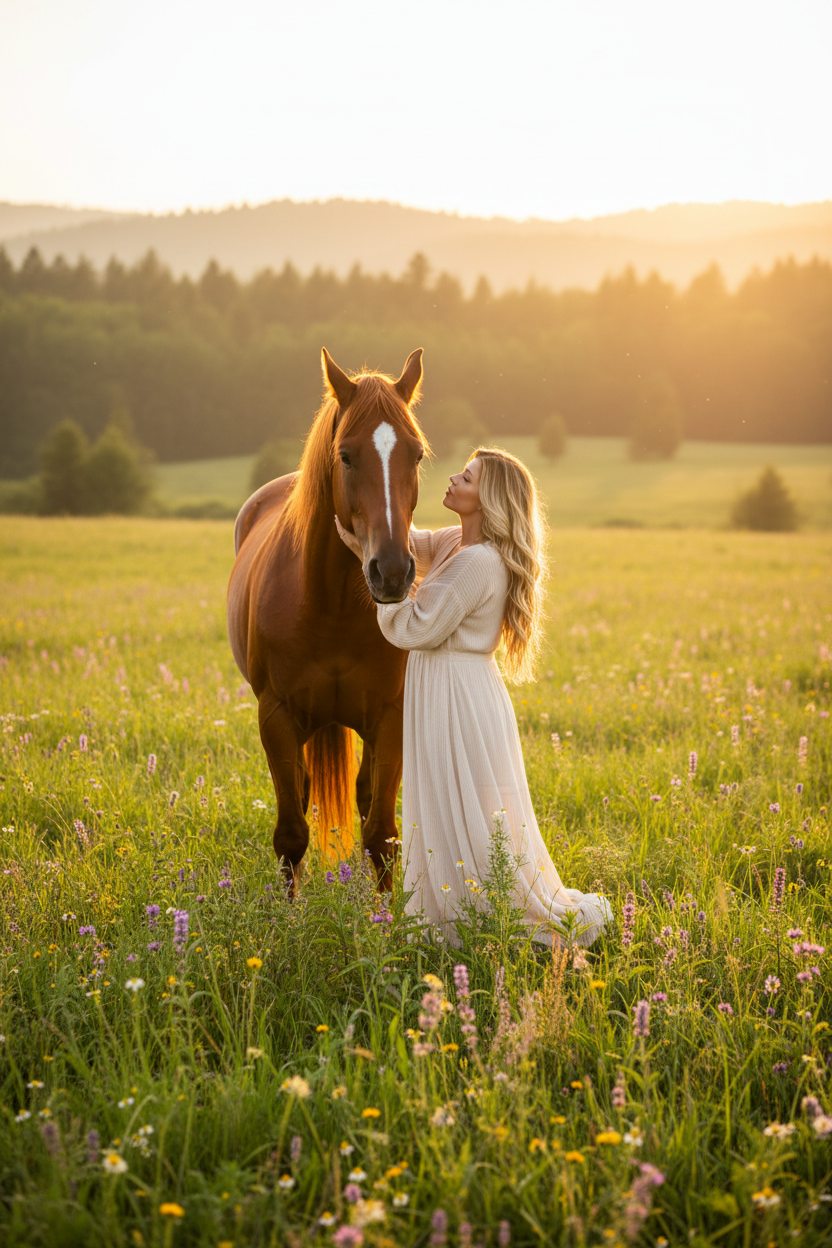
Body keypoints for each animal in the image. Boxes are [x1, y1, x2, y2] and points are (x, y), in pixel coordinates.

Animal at [227, 347, 428, 891]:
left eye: (417, 455)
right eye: (346, 455)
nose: (392, 571)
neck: (332, 605)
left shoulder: (392, 717)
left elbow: (381, 834)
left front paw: (388, 912)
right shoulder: (276, 716)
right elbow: (291, 833)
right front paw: (286, 909)